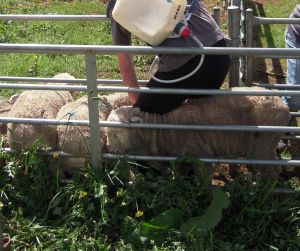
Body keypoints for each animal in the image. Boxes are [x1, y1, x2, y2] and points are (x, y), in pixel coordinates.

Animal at [106, 87, 290, 179]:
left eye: (116, 131)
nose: (110, 151)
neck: (161, 128)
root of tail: (282, 104)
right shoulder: (177, 157)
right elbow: (177, 173)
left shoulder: (201, 155)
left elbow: (203, 179)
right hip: (266, 145)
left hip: (261, 145)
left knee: (272, 170)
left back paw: (262, 192)